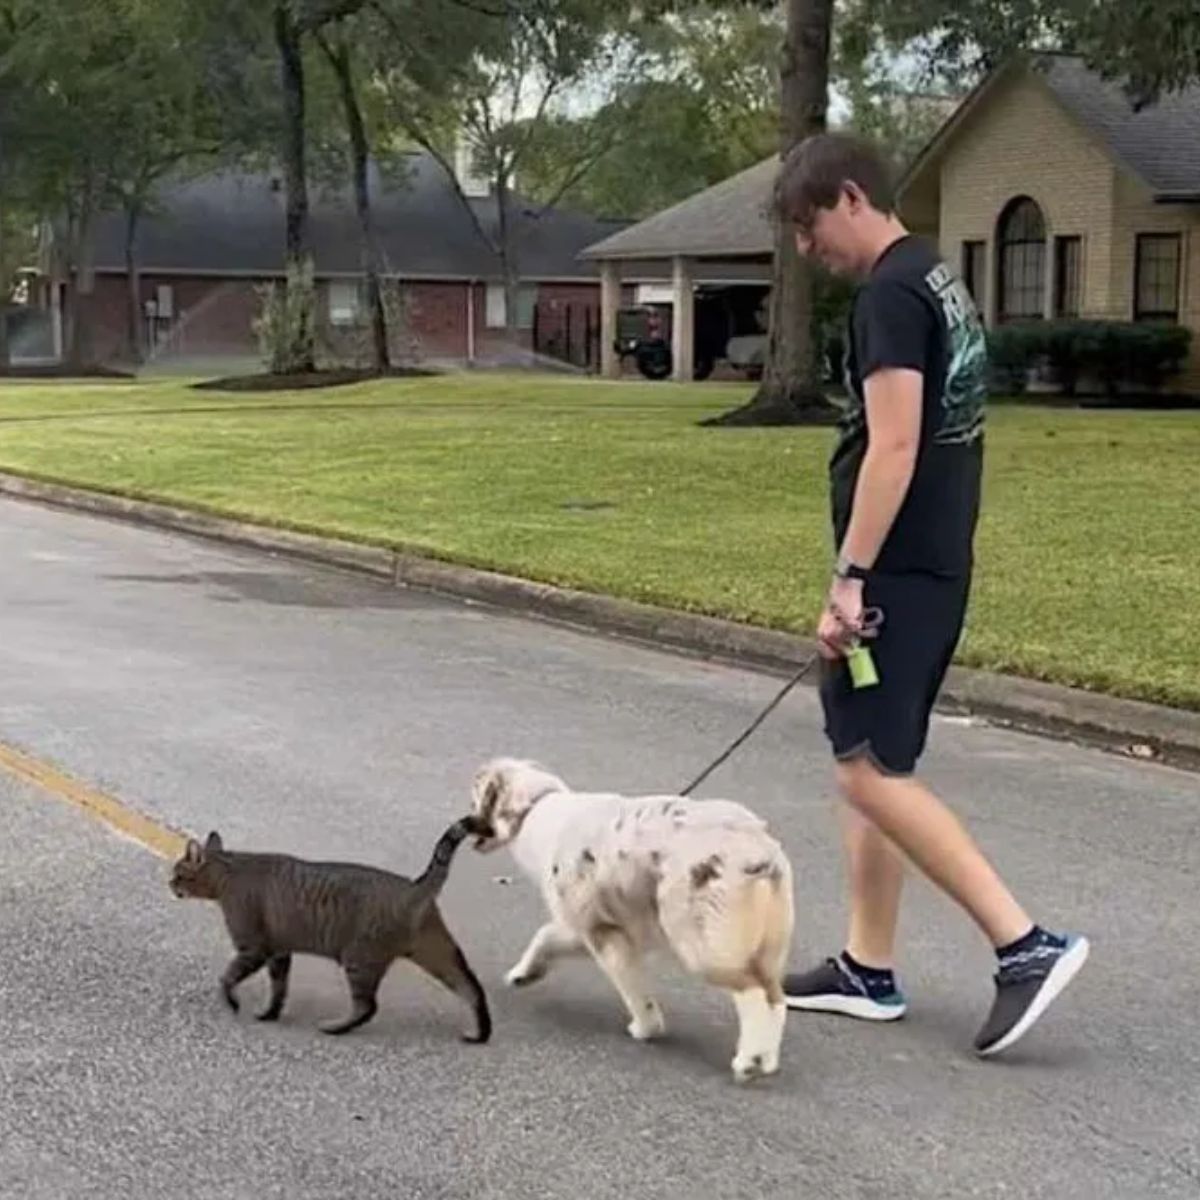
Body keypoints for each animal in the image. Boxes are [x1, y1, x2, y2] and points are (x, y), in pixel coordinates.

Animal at [166, 816, 489, 1041]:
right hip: (438, 955)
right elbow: (279, 988)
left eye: (177, 873)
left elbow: (227, 978)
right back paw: (481, 1032)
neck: (229, 871)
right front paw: (271, 1013)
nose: (169, 883)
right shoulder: (278, 951)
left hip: (360, 960)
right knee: (472, 989)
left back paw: (335, 1028)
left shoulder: (253, 948)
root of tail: (416, 886)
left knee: (367, 1007)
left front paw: (232, 1003)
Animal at [468, 753, 796, 1084]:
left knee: (753, 994)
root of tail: (758, 850)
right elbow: (544, 937)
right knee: (776, 999)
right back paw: (766, 1058)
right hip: (768, 948)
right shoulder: (586, 927)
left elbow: (633, 990)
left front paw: (646, 1028)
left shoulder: (603, 933)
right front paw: (523, 974)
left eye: (475, 798)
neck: (536, 808)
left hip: (701, 946)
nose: (465, 823)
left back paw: (748, 1061)